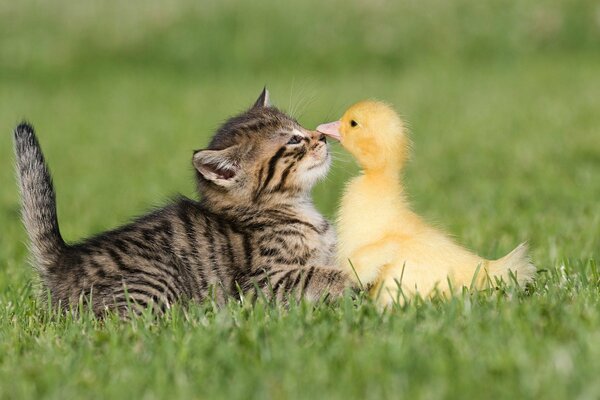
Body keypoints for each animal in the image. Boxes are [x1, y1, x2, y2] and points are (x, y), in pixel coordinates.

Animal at [14, 88, 354, 316]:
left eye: (302, 126)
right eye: (294, 140)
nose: (322, 137)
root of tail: (64, 260)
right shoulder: (263, 282)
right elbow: (323, 274)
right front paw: (358, 281)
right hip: (157, 280)